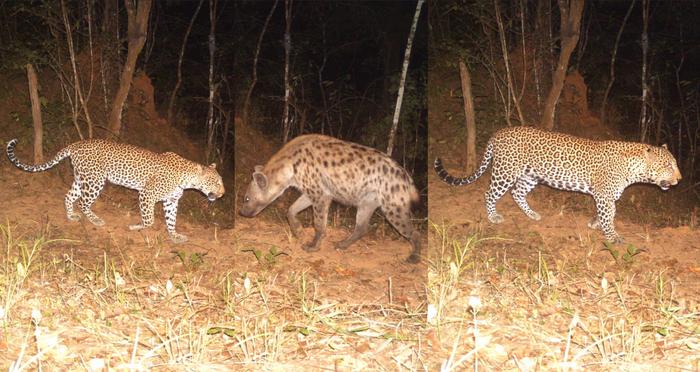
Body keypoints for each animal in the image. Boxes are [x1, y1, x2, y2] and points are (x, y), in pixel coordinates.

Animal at [6, 138, 226, 243]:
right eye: (215, 182)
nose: (223, 193)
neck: (186, 179)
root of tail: (76, 144)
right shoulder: (147, 194)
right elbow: (149, 219)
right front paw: (138, 227)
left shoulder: (171, 201)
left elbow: (171, 221)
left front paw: (175, 236)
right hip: (95, 181)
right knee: (84, 202)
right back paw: (95, 220)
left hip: (82, 178)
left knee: (69, 196)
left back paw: (71, 216)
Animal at [238, 133, 424, 262]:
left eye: (246, 198)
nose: (241, 212)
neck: (289, 167)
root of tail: (406, 175)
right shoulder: (312, 190)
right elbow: (291, 209)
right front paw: (298, 230)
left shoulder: (320, 194)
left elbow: (319, 223)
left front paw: (312, 246)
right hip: (368, 201)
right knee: (362, 226)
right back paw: (342, 245)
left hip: (393, 205)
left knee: (413, 231)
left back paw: (413, 258)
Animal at [434, 125, 680, 241]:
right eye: (668, 166)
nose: (679, 179)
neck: (634, 170)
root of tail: (498, 132)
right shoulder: (604, 195)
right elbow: (609, 215)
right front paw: (612, 236)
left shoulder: (608, 196)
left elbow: (608, 213)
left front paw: (595, 224)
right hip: (506, 171)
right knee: (489, 193)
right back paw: (493, 217)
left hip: (530, 175)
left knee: (517, 194)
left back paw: (532, 215)